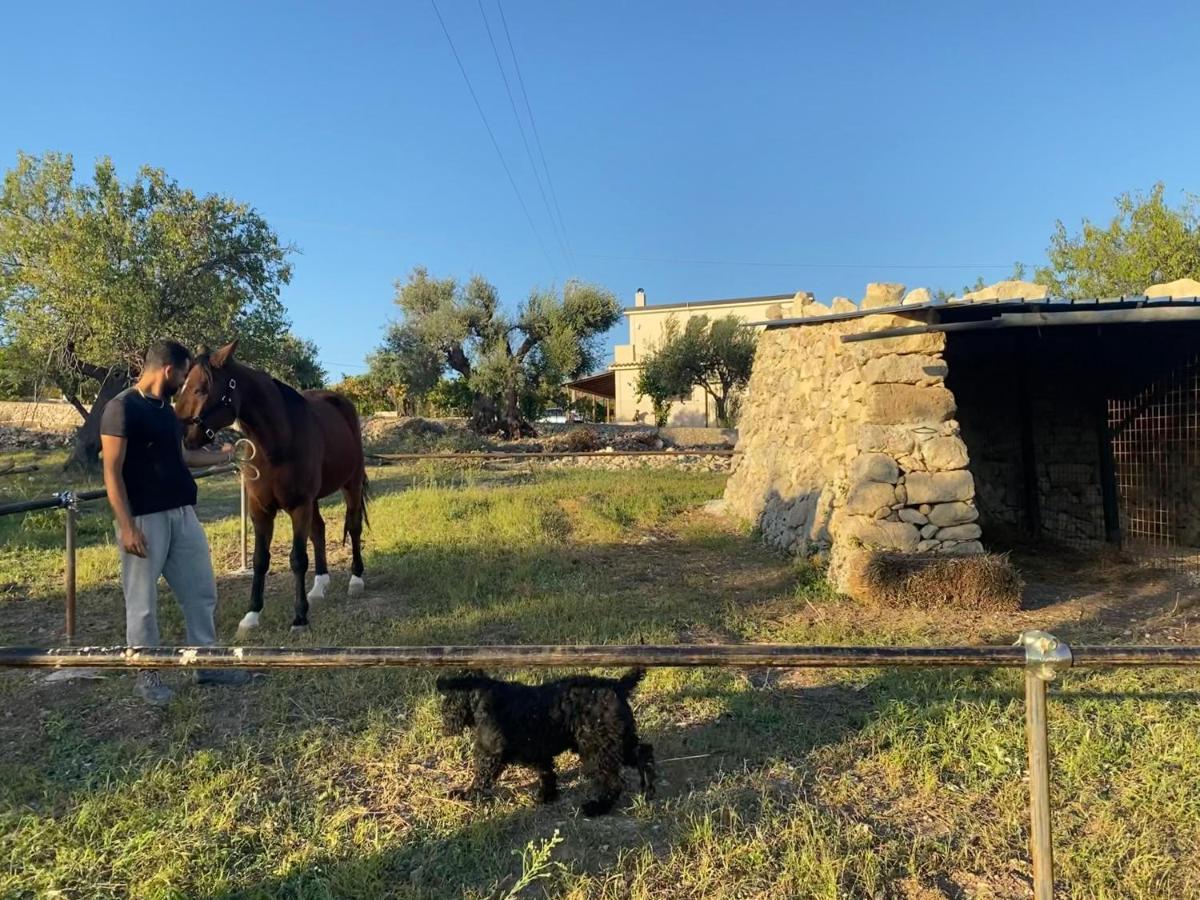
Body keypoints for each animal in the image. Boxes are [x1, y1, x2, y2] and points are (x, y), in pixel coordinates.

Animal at [175, 343, 364, 633]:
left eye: (201, 389)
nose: (181, 436)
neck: (278, 442)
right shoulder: (260, 509)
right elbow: (260, 560)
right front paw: (251, 615)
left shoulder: (299, 506)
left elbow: (298, 559)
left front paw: (299, 618)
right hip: (314, 500)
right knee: (319, 531)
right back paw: (319, 587)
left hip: (350, 484)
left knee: (353, 526)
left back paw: (356, 579)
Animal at [434, 667, 652, 820]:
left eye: (448, 698)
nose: (443, 717)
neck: (485, 697)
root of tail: (619, 685)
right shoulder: (536, 752)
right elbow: (546, 772)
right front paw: (548, 795)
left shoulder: (489, 753)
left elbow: (480, 778)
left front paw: (465, 795)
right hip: (617, 742)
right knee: (644, 752)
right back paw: (649, 787)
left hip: (598, 749)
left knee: (613, 782)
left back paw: (597, 807)